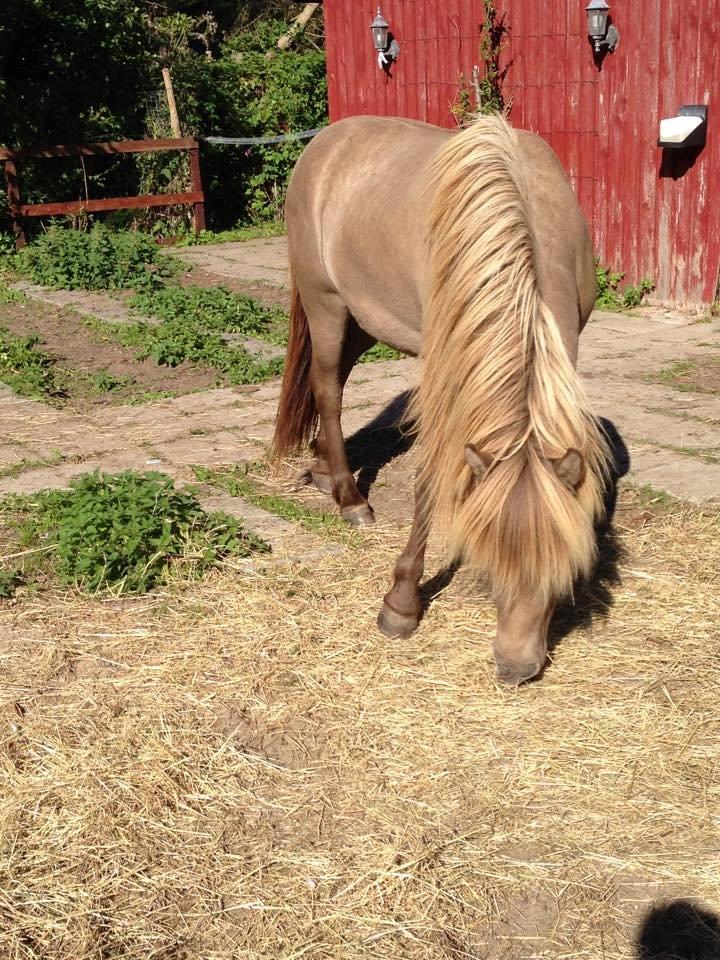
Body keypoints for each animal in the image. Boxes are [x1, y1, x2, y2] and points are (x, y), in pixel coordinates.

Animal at [272, 114, 612, 684]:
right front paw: (401, 602)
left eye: (562, 567)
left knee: (334, 381)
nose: (515, 667)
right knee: (327, 388)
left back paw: (323, 470)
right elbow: (430, 482)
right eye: (491, 559)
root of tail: (326, 140)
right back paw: (349, 498)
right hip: (327, 304)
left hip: (364, 319)